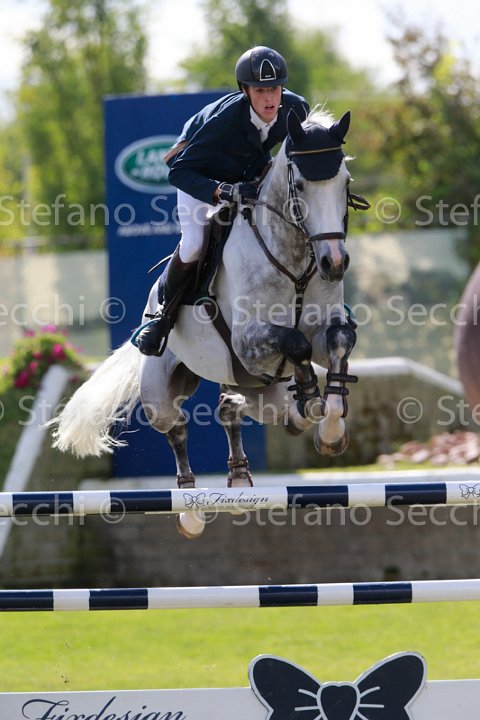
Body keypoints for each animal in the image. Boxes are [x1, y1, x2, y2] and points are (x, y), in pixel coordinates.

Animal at [50, 108, 369, 538]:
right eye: (301, 186)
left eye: (345, 183)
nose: (334, 263)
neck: (294, 258)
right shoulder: (249, 344)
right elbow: (294, 343)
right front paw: (310, 396)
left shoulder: (322, 329)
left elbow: (337, 342)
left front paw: (331, 429)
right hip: (161, 391)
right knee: (176, 426)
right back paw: (190, 510)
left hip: (258, 391)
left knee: (239, 409)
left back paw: (244, 470)